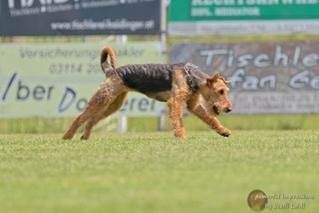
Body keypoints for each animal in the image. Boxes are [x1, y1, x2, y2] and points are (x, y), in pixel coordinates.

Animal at [62, 47, 232, 140]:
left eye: (226, 91)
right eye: (220, 91)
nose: (229, 109)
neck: (191, 77)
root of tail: (111, 71)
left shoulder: (193, 104)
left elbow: (210, 119)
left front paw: (223, 131)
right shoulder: (175, 102)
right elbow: (178, 121)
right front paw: (182, 137)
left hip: (113, 104)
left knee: (92, 120)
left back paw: (85, 136)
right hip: (103, 98)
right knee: (80, 117)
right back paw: (67, 136)